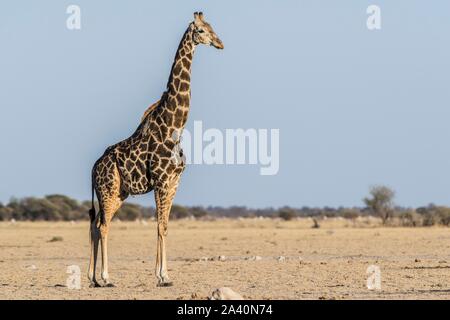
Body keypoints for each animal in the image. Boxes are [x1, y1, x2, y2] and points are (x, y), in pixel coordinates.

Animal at [87, 11, 224, 288]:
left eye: (212, 27)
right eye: (201, 30)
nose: (220, 43)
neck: (174, 127)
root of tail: (94, 166)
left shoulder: (174, 182)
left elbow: (165, 226)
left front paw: (164, 275)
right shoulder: (161, 181)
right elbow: (159, 226)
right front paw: (162, 276)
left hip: (119, 193)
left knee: (96, 225)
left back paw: (92, 278)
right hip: (108, 189)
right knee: (103, 226)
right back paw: (105, 278)